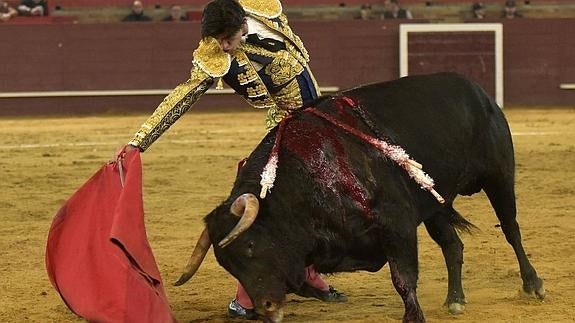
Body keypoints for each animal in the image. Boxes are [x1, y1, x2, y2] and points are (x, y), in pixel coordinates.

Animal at [174, 74, 544, 323]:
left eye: (250, 246)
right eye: (228, 265)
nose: (267, 308)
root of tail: (476, 89)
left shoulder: (397, 224)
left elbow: (403, 278)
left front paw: (413, 316)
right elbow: (306, 282)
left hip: (498, 176)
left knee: (511, 229)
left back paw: (534, 284)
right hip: (434, 204)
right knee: (453, 245)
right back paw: (455, 299)